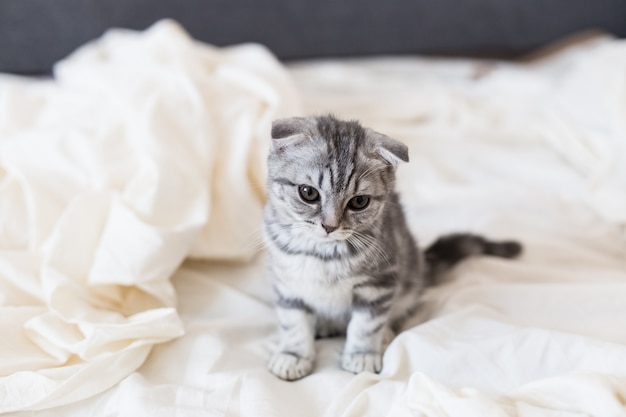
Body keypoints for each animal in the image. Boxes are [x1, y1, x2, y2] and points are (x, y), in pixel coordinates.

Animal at [264, 114, 520, 380]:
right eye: (308, 193)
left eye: (359, 201)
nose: (329, 226)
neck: (322, 254)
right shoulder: (287, 283)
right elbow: (293, 322)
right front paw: (293, 355)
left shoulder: (380, 282)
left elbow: (366, 324)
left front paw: (362, 355)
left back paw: (384, 333)